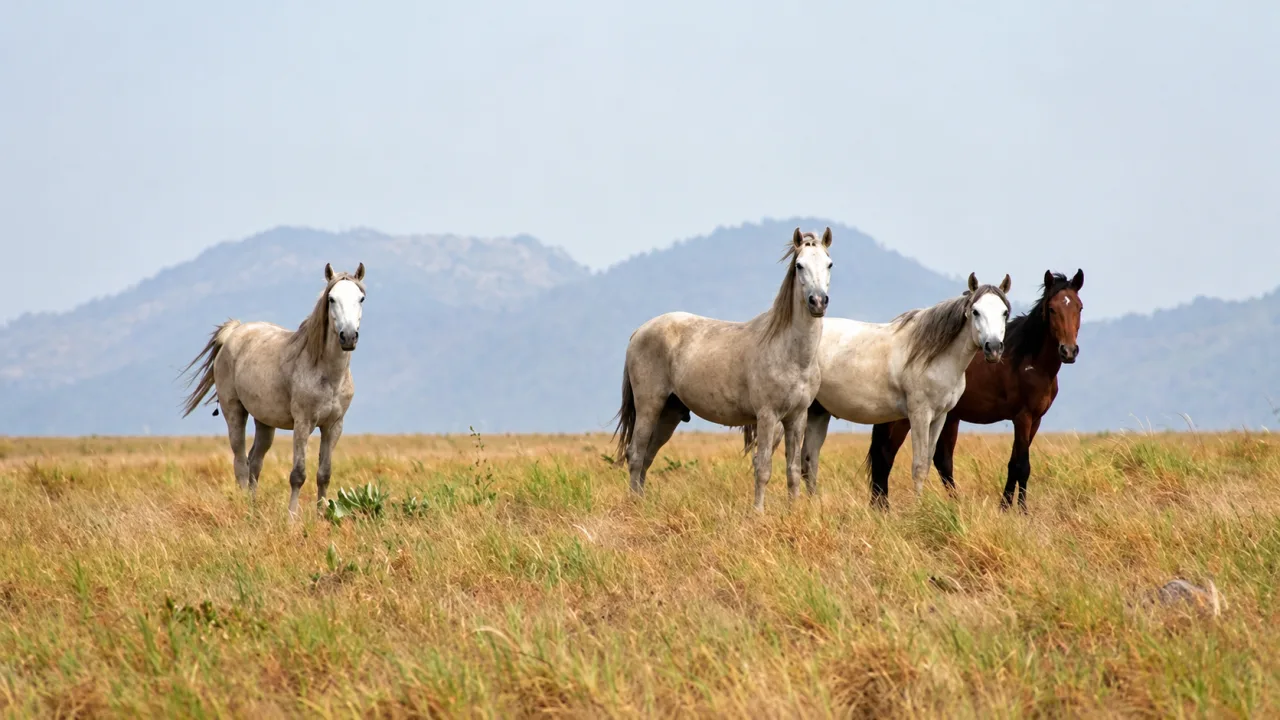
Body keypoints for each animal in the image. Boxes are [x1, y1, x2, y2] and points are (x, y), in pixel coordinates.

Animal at [181, 262, 367, 516]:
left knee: (254, 462)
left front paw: (322, 516)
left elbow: (324, 474)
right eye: (331, 299)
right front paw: (292, 518)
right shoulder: (303, 424)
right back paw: (245, 510)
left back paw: (254, 509)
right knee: (240, 463)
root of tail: (234, 332)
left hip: (265, 422)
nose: (348, 336)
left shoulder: (333, 426)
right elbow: (298, 474)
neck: (327, 374)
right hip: (235, 413)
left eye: (361, 298)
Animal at [612, 227, 834, 512]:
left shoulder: (797, 418)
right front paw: (758, 512)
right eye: (799, 265)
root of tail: (640, 331)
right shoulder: (767, 416)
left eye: (829, 264)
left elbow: (793, 470)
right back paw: (635, 506)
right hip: (649, 406)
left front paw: (793, 511)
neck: (791, 353)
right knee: (636, 454)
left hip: (668, 414)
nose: (818, 302)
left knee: (647, 456)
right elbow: (763, 468)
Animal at [745, 272, 1012, 509]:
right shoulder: (919, 415)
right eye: (976, 311)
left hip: (816, 413)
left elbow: (927, 463)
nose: (994, 348)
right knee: (763, 460)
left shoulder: (940, 417)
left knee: (808, 461)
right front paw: (918, 510)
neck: (933, 355)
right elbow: (918, 466)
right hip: (783, 416)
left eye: (1004, 312)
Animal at [867, 269, 1083, 512]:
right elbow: (1022, 465)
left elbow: (1014, 463)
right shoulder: (1023, 418)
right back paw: (883, 508)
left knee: (940, 461)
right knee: (886, 457)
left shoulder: (1035, 420)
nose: (1069, 351)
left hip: (949, 418)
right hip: (904, 418)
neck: (1028, 362)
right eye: (1052, 308)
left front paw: (1006, 506)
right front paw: (1021, 510)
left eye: (1079, 307)